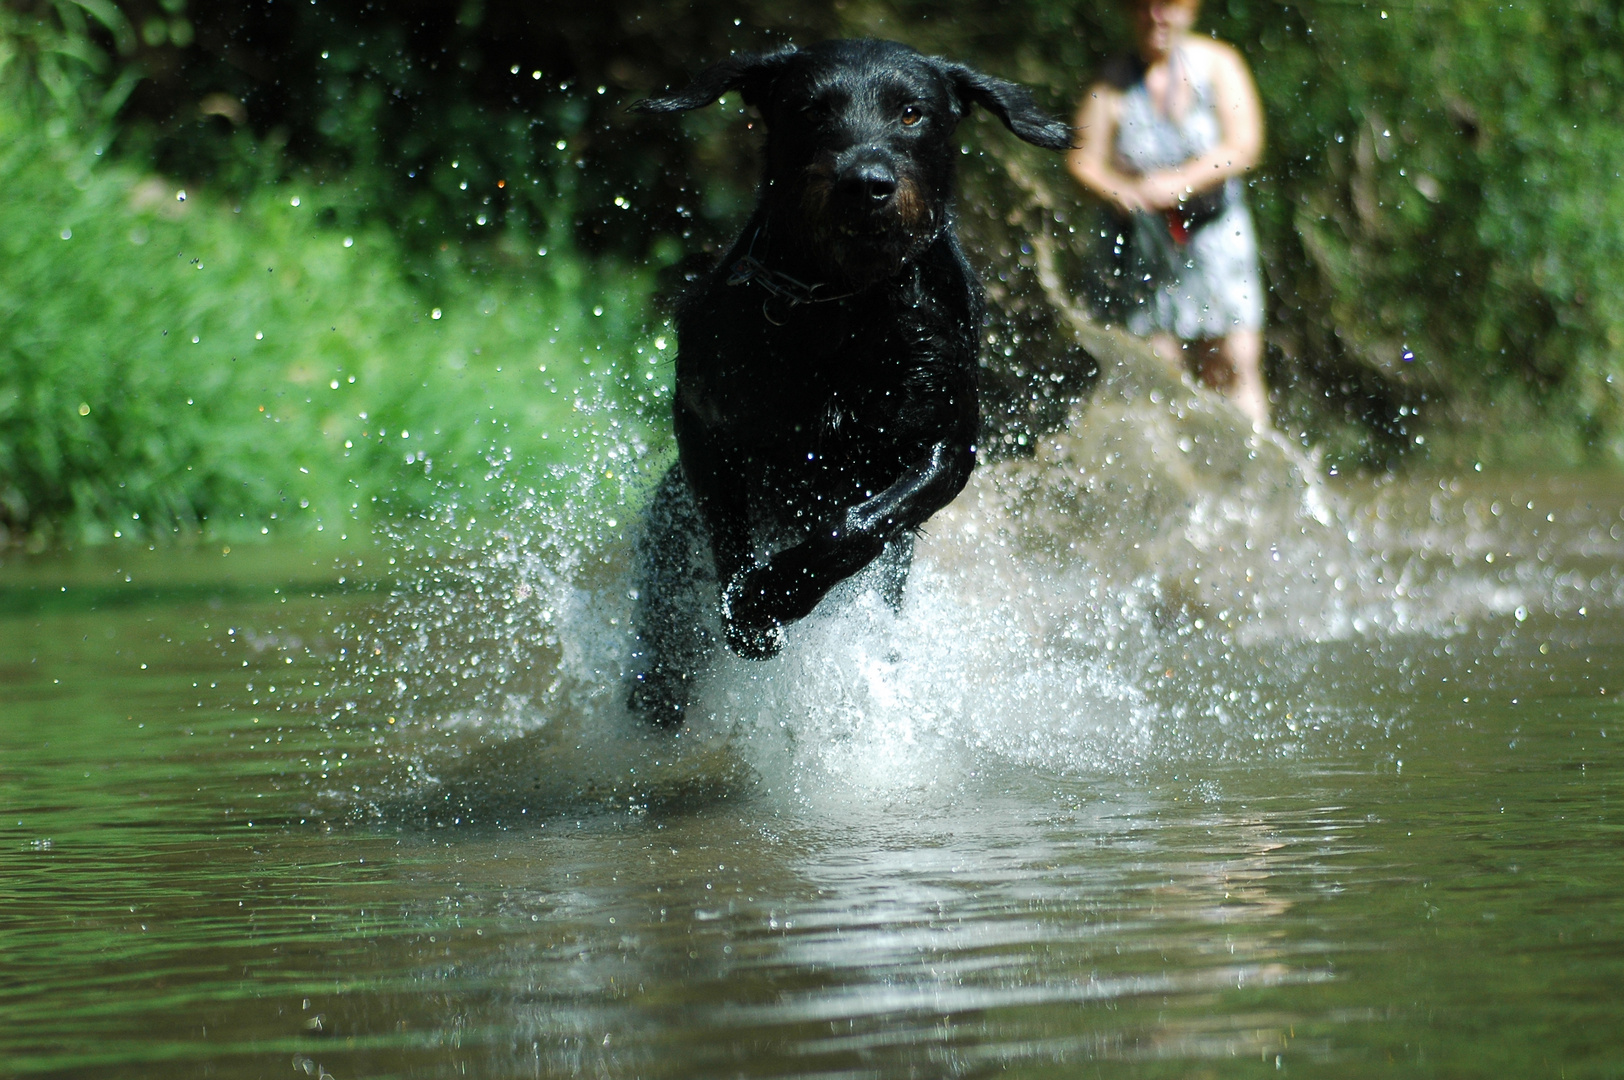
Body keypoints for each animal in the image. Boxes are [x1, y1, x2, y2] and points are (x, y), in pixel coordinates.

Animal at [620, 37, 1065, 724]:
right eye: (812, 110)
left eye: (911, 113)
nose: (866, 183)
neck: (844, 302)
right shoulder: (701, 420)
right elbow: (726, 518)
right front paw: (746, 604)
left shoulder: (946, 447)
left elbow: (858, 524)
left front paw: (774, 593)